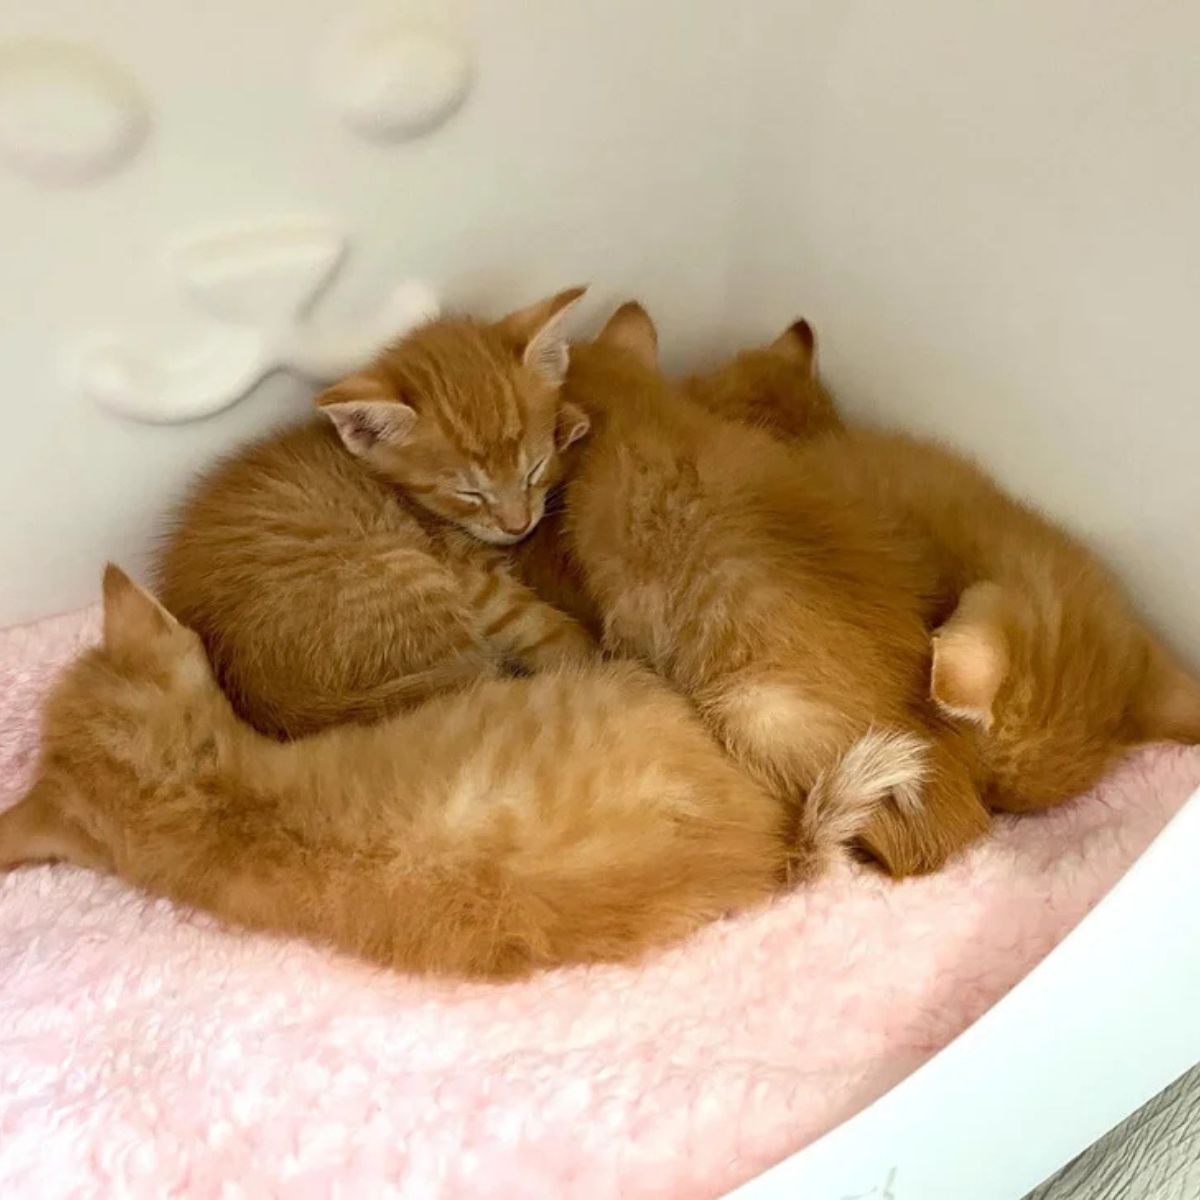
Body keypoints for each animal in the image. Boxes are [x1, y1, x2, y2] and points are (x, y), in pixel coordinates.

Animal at [156, 290, 600, 739]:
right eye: (469, 492)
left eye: (534, 470)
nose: (518, 525)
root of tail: (271, 706)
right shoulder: (471, 577)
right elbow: (533, 623)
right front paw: (588, 655)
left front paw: (569, 422)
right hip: (407, 574)